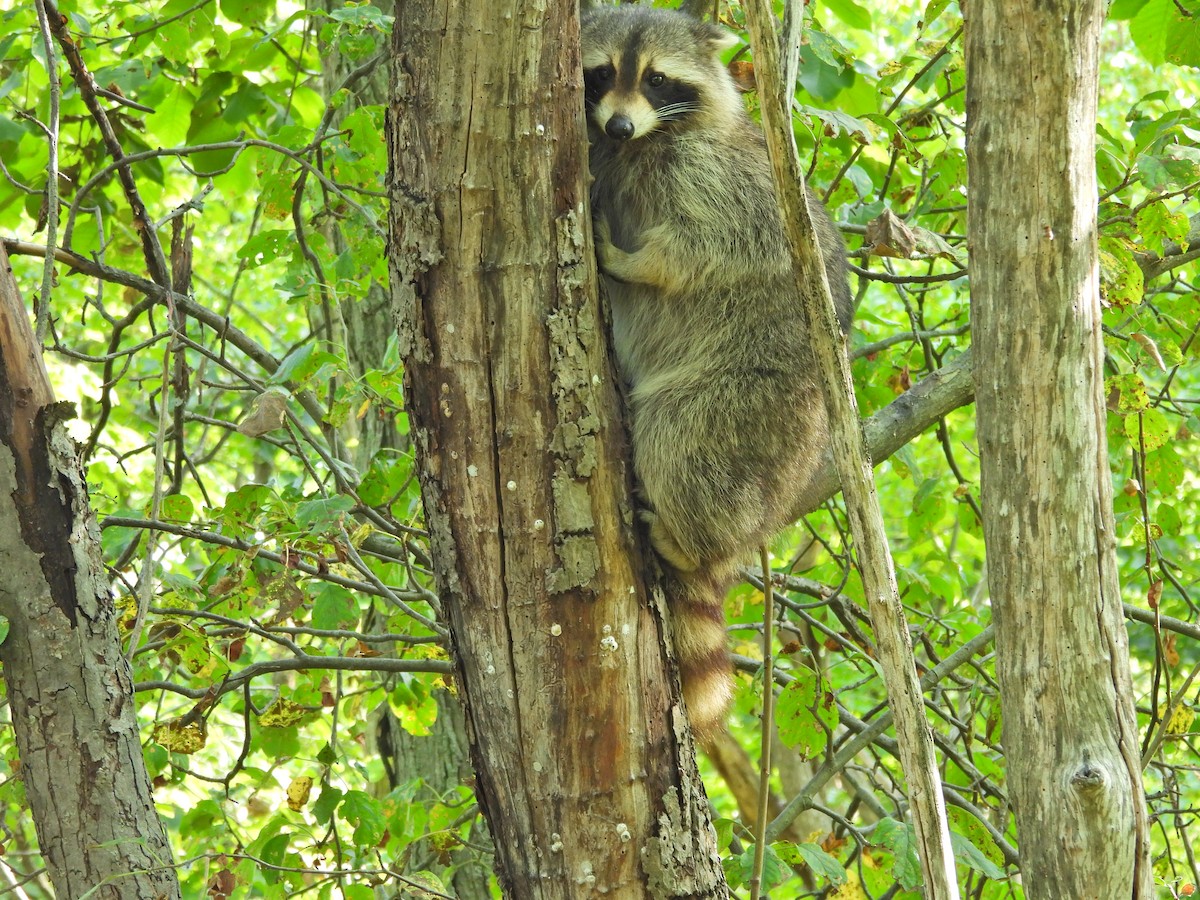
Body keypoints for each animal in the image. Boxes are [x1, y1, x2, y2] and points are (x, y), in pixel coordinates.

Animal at [581, 5, 853, 735]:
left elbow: (705, 247)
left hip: (756, 406)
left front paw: (635, 259)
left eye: (655, 78)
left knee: (680, 433)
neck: (637, 145)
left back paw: (690, 542)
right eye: (602, 73)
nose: (618, 126)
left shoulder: (723, 182)